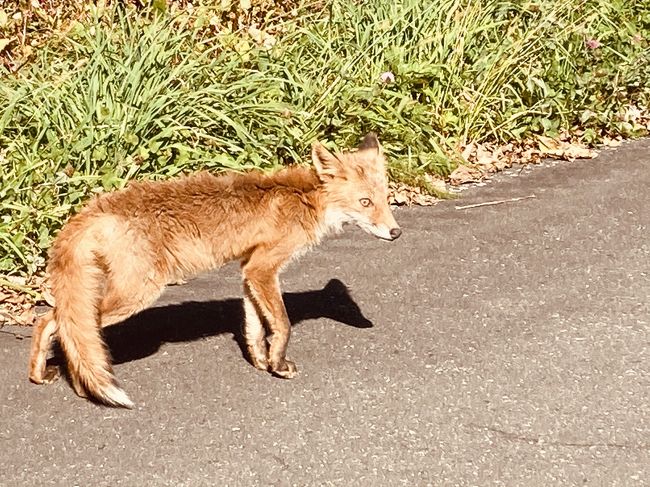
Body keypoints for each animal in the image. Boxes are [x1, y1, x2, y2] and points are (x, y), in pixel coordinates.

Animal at [29, 132, 400, 408]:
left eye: (385, 198)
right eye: (365, 202)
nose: (396, 232)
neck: (305, 199)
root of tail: (92, 209)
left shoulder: (249, 270)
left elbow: (254, 328)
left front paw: (262, 362)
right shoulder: (264, 268)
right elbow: (282, 324)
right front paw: (279, 366)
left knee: (57, 326)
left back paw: (47, 377)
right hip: (138, 293)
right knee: (56, 323)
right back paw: (78, 385)